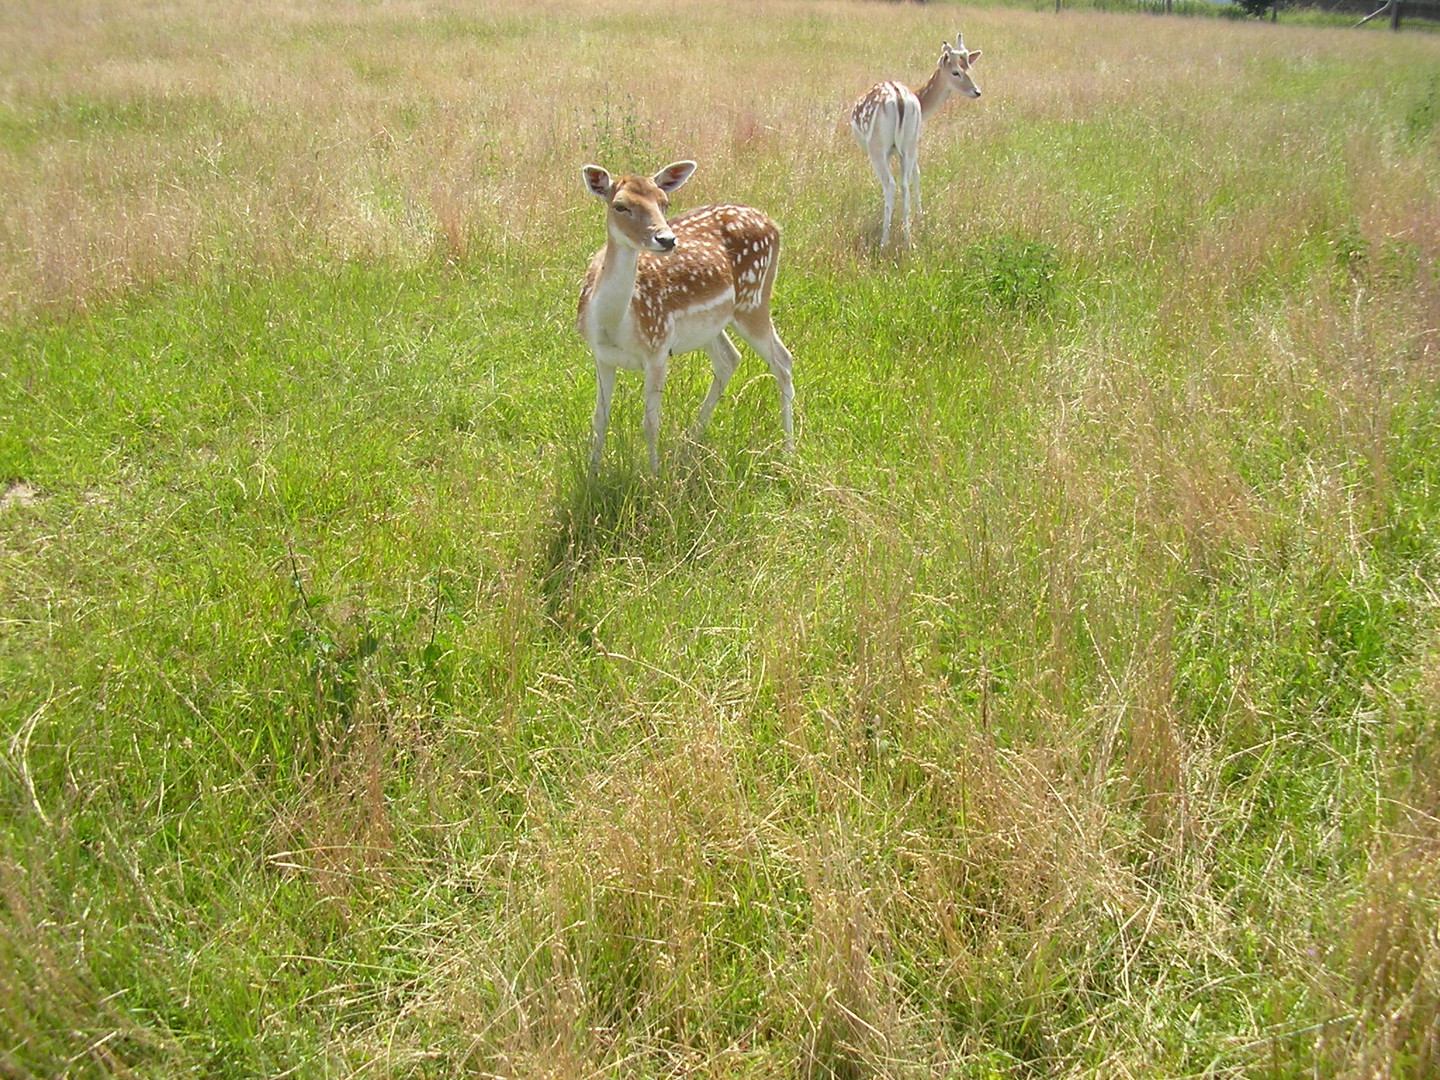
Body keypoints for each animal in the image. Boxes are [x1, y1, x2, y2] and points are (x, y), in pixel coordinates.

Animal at [576, 160, 800, 472]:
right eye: (620, 206)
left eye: (664, 202)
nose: (667, 239)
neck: (615, 325)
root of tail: (773, 225)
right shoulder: (601, 354)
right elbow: (599, 419)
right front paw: (592, 474)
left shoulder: (658, 348)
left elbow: (651, 423)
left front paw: (654, 476)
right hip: (712, 325)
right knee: (729, 358)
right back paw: (688, 443)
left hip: (753, 300)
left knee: (783, 360)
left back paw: (789, 452)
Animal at [846, 32, 984, 249]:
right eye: (956, 72)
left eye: (968, 68)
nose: (977, 92)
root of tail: (900, 99)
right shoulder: (914, 144)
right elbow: (917, 174)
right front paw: (920, 219)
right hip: (908, 144)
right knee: (904, 183)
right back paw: (907, 240)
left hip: (877, 147)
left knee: (891, 184)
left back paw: (884, 242)